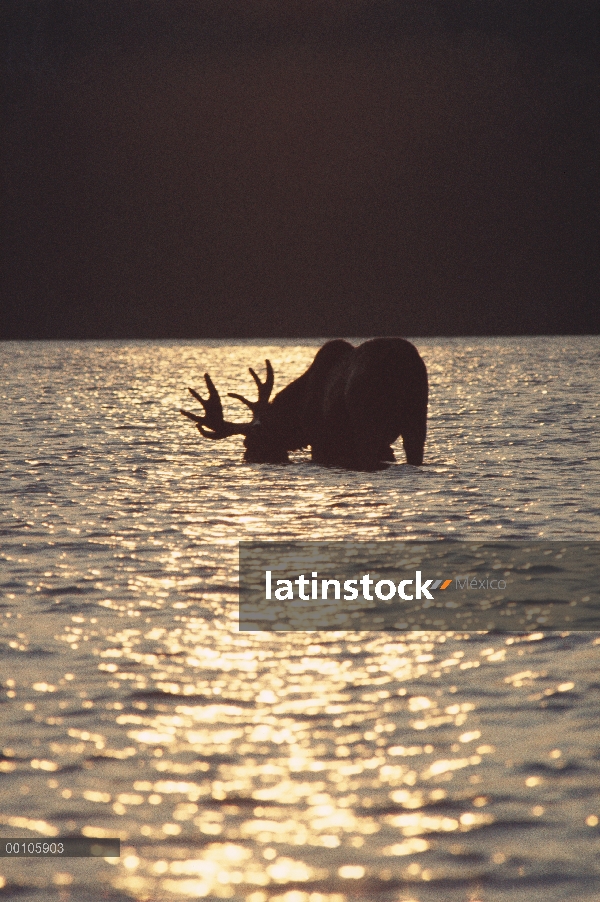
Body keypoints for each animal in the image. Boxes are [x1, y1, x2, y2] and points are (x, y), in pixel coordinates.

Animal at [178, 340, 426, 474]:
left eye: (250, 441)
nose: (247, 457)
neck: (297, 423)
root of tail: (403, 360)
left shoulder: (322, 440)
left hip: (368, 424)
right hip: (416, 417)